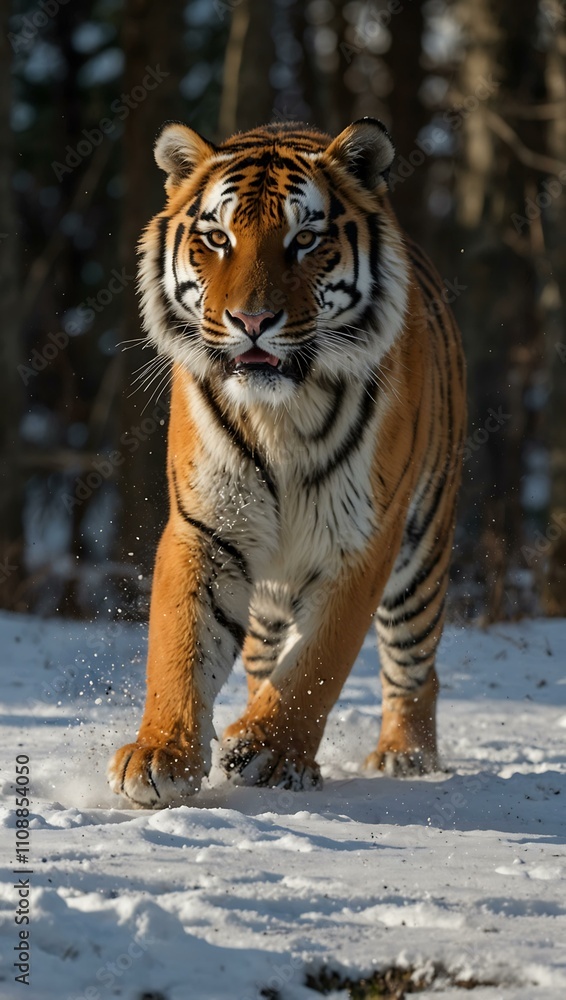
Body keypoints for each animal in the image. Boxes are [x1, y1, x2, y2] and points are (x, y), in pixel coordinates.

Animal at [108, 117, 466, 808]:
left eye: (305, 239)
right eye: (217, 238)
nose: (251, 320)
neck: (282, 414)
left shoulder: (363, 542)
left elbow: (320, 661)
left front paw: (269, 750)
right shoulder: (206, 527)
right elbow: (180, 646)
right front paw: (160, 755)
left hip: (420, 555)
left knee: (414, 664)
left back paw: (404, 754)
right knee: (261, 657)